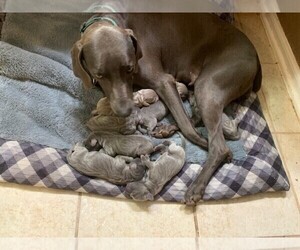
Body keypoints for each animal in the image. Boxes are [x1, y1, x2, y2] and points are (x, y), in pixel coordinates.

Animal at [71, 10, 262, 204]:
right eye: (99, 75)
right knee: (195, 117)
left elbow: (188, 128)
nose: (125, 111)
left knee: (217, 145)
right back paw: (167, 129)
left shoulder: (164, 81)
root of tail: (255, 54)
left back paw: (197, 186)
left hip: (208, 84)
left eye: (129, 68)